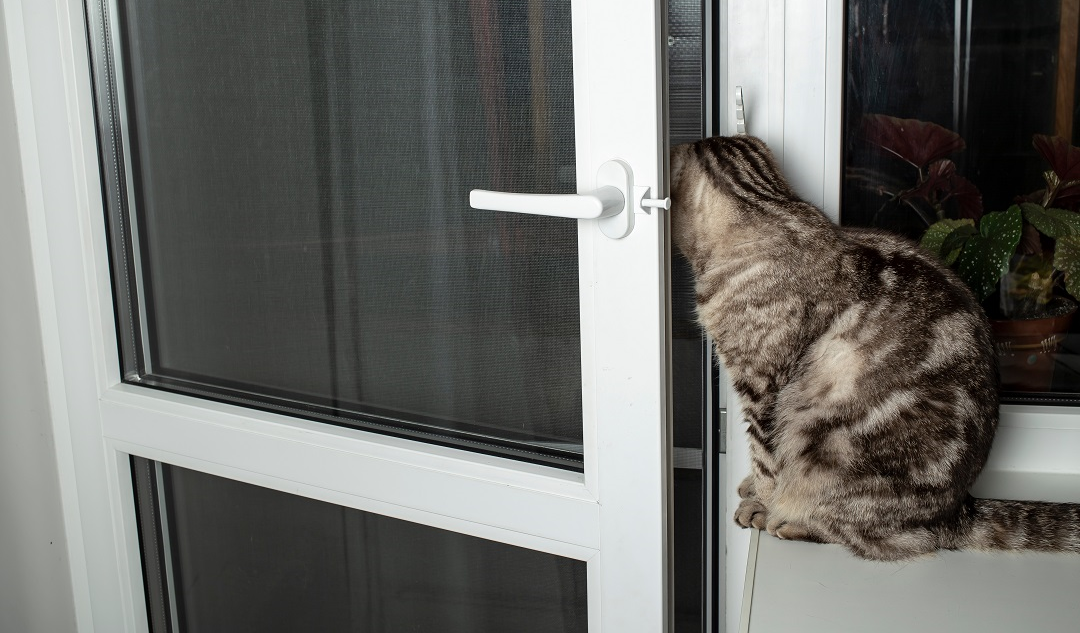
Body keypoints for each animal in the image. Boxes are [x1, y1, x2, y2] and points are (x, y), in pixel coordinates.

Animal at [669, 135, 1080, 557]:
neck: (770, 207)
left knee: (873, 536)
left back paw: (788, 520)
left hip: (832, 449)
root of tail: (957, 511)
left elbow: (765, 458)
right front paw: (753, 486)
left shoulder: (762, 389)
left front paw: (761, 503)